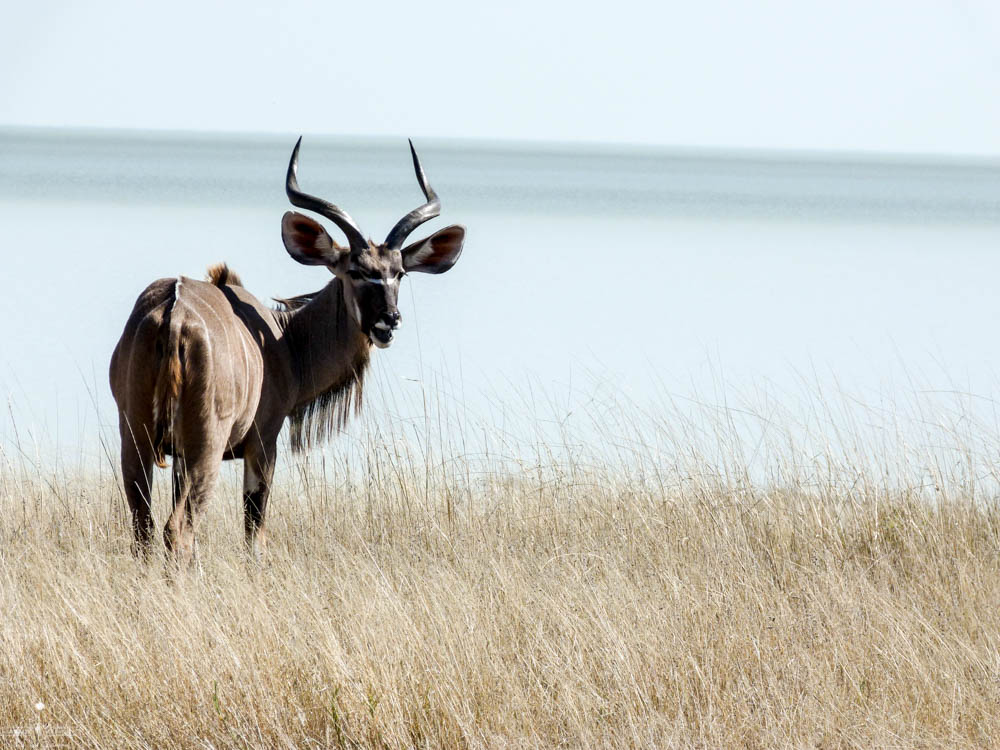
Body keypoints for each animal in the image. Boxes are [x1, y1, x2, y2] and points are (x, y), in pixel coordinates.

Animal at [107, 141, 466, 564]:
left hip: (137, 441)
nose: (389, 321)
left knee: (144, 529)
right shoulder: (263, 443)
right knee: (178, 531)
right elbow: (255, 536)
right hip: (204, 447)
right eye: (356, 272)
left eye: (400, 273)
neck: (284, 339)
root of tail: (172, 314)